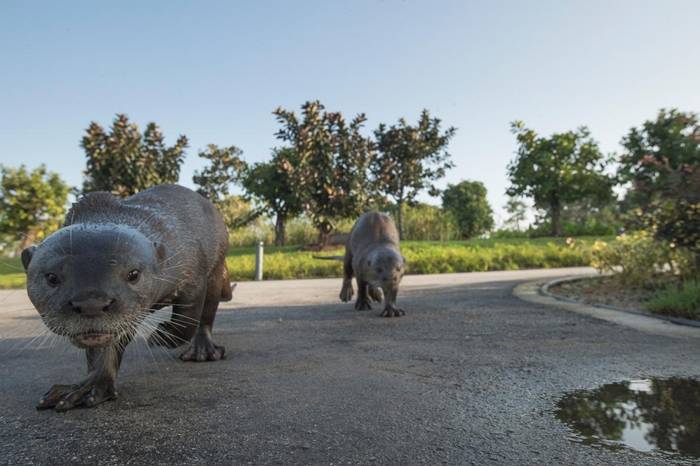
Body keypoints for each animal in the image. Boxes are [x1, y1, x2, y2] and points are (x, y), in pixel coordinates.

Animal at [19, 185, 230, 412]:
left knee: (207, 313)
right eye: (52, 277)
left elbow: (186, 321)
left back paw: (202, 350)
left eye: (133, 274)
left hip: (217, 266)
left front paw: (161, 336)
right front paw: (90, 386)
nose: (91, 304)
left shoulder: (192, 272)